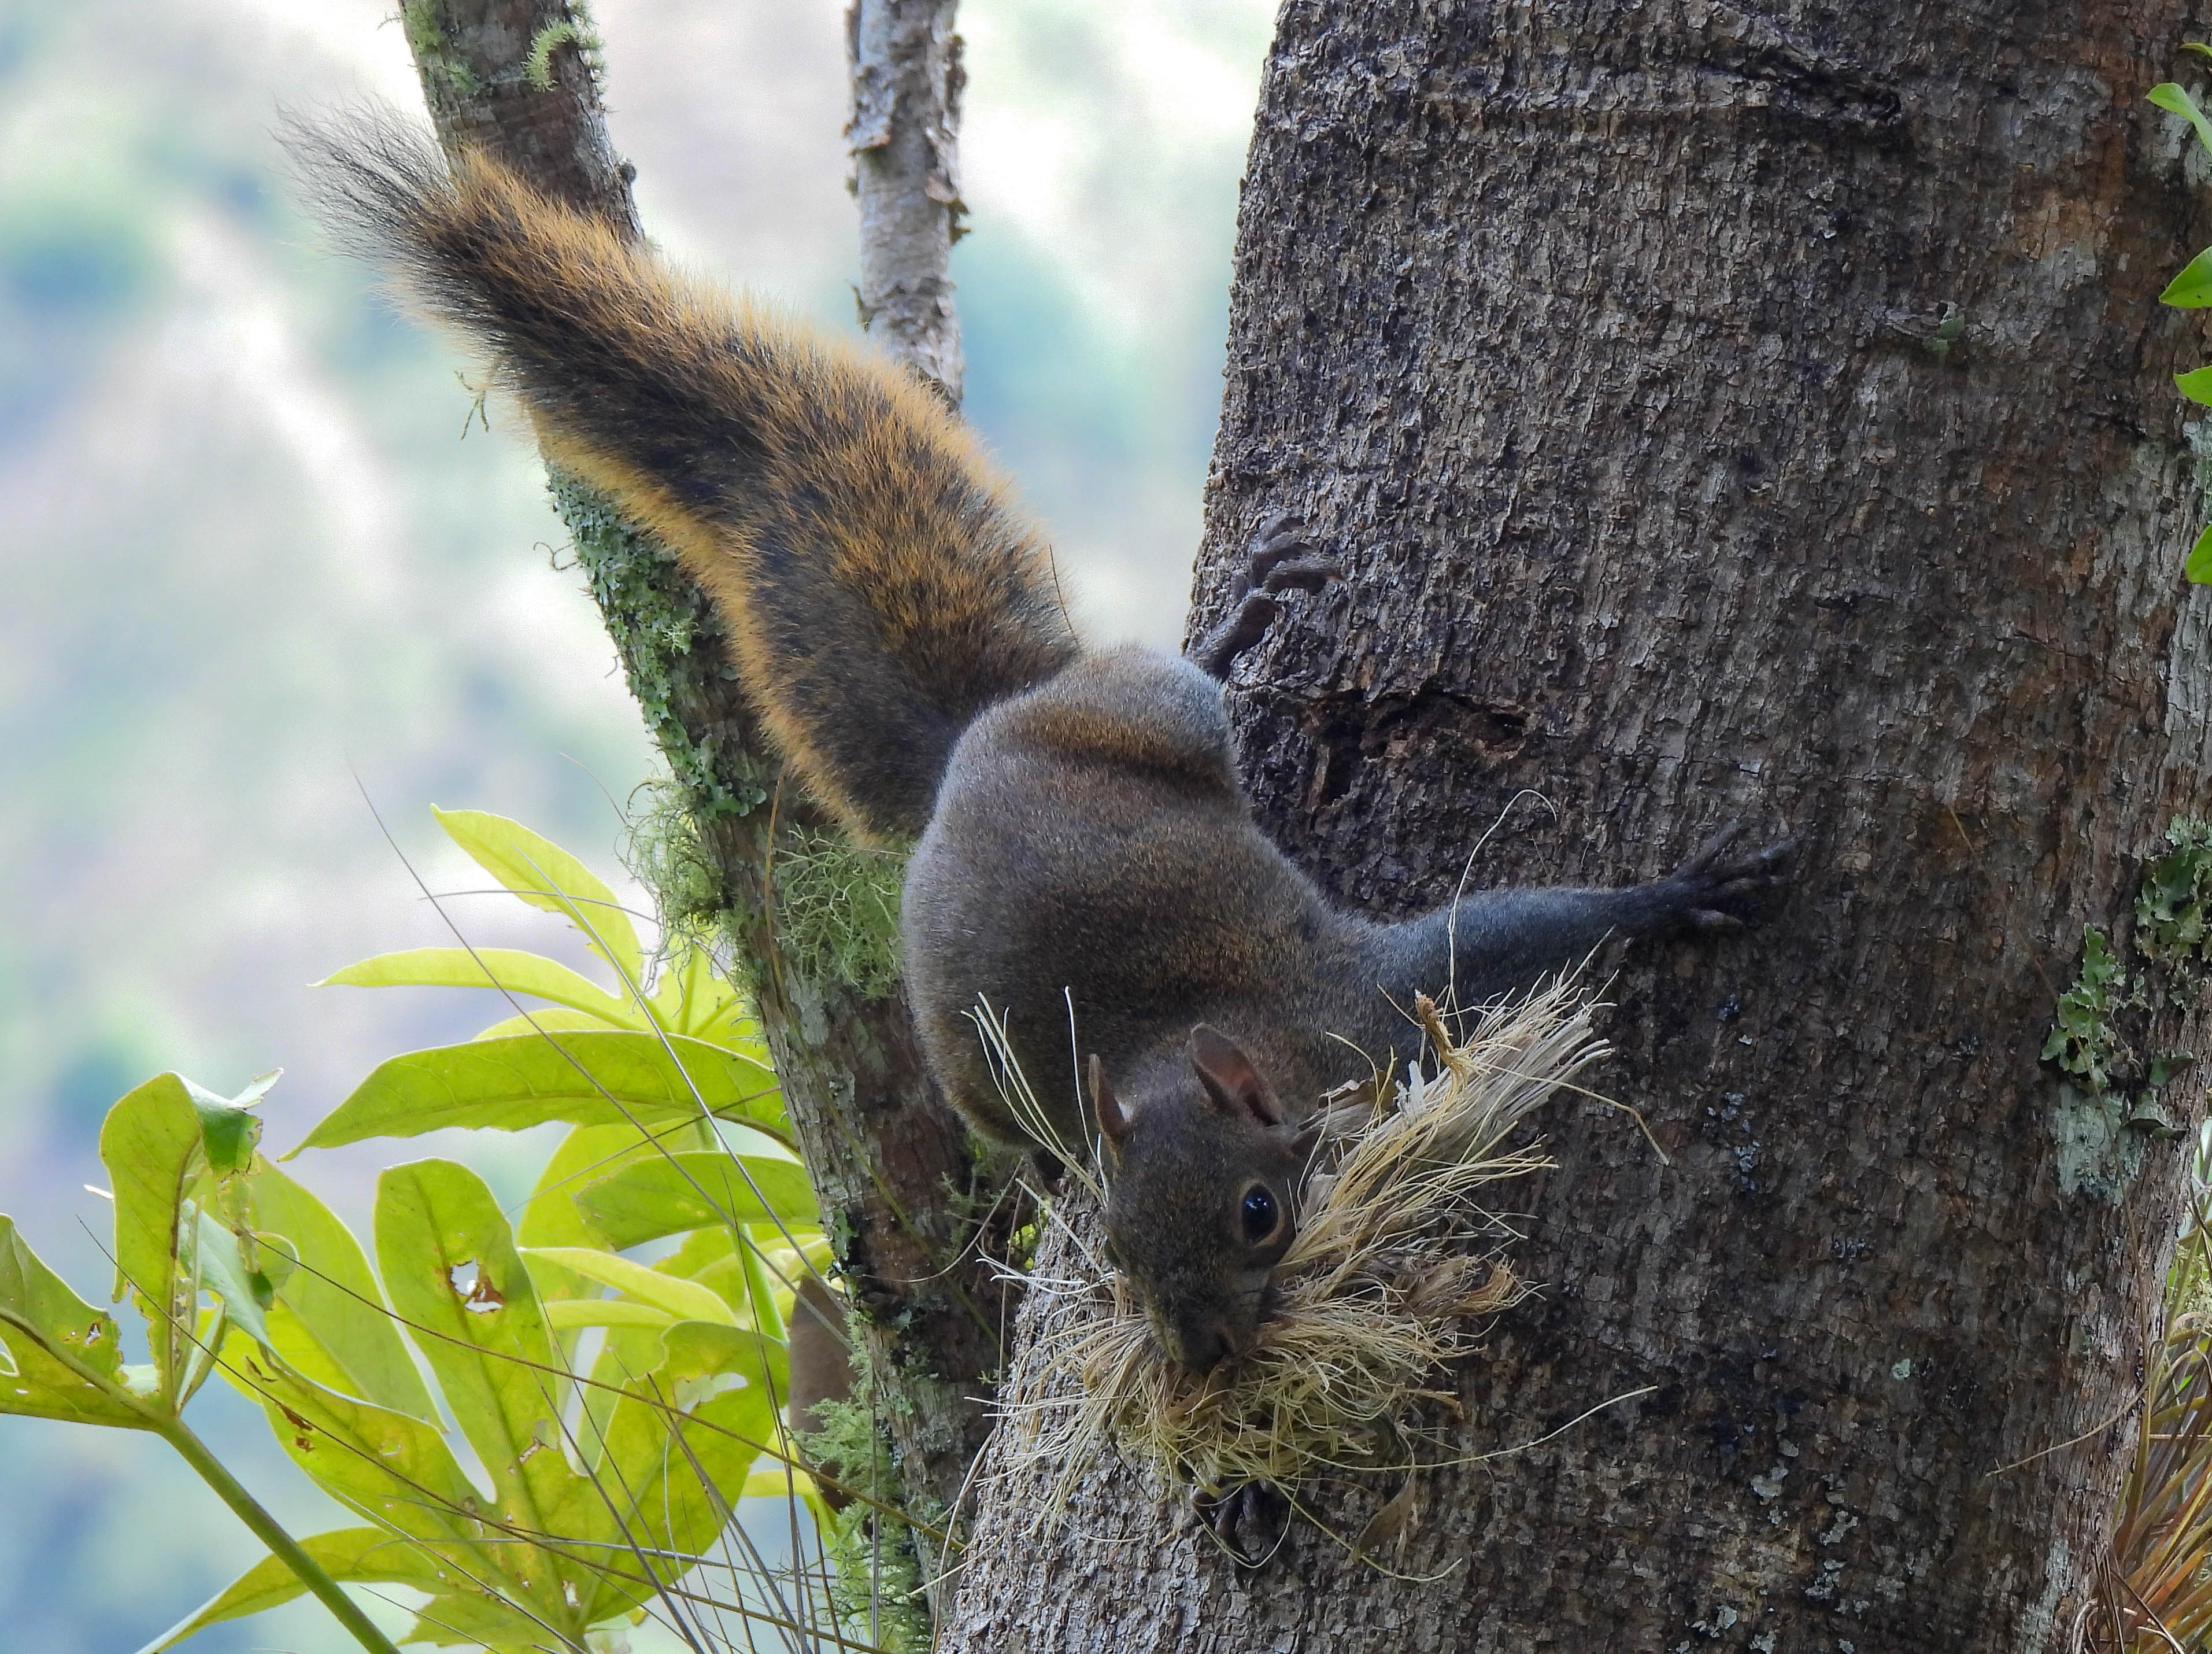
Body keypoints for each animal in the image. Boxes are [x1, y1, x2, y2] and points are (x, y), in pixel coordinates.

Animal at [305, 121, 1795, 1375]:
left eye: (1258, 1212)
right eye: (1129, 1255)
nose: (1203, 1356)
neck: (1193, 1052)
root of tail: (976, 743)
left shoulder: (1368, 1003)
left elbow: (1514, 931)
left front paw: (1677, 893)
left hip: (1146, 713)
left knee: (1194, 689)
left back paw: (1236, 627)